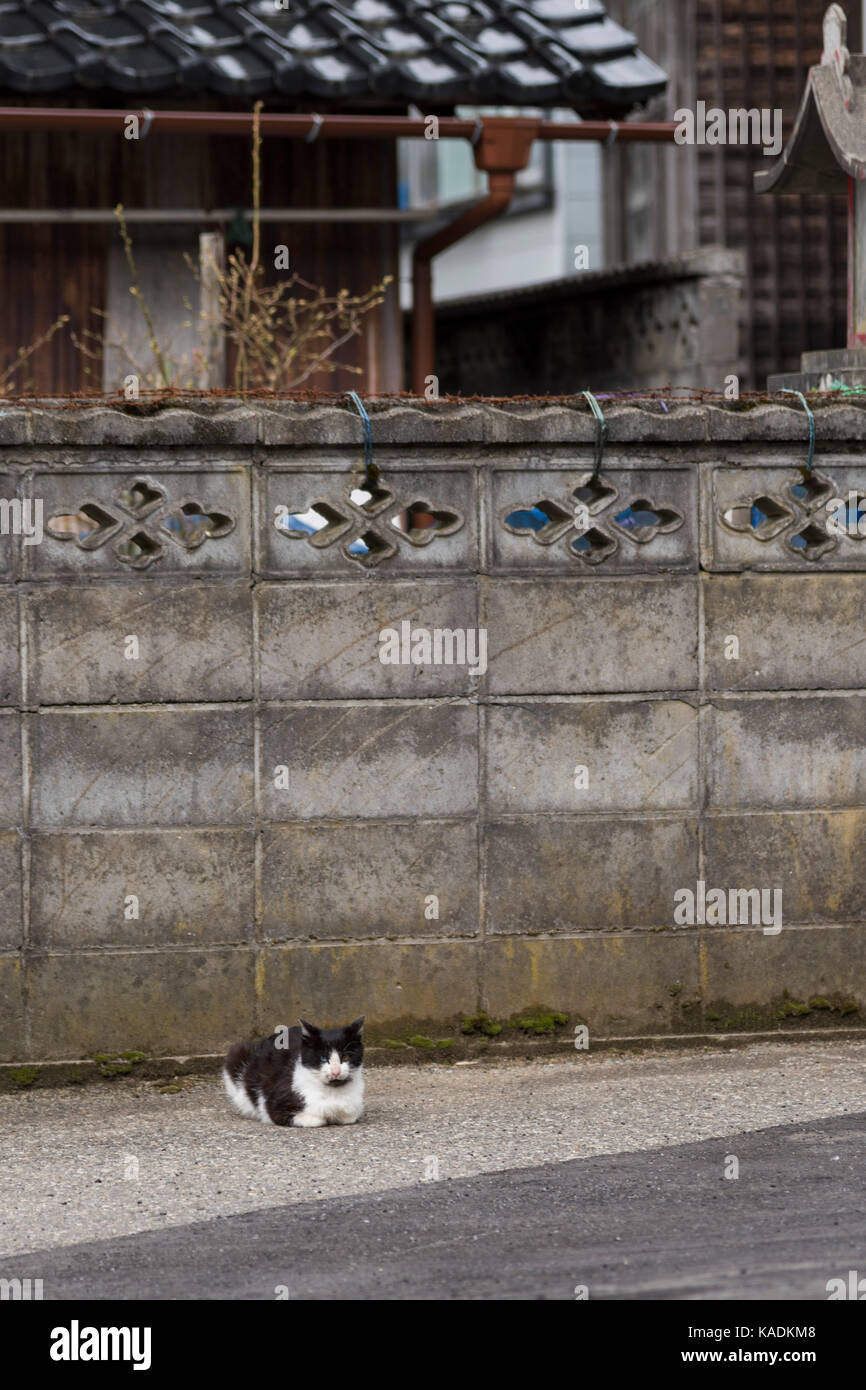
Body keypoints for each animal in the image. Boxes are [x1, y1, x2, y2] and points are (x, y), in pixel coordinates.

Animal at [223, 1023, 366, 1128]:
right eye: (323, 1058)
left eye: (346, 1057)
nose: (336, 1072)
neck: (333, 1092)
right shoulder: (276, 1105)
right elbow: (317, 1119)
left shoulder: (354, 1109)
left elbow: (349, 1117)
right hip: (238, 1052)